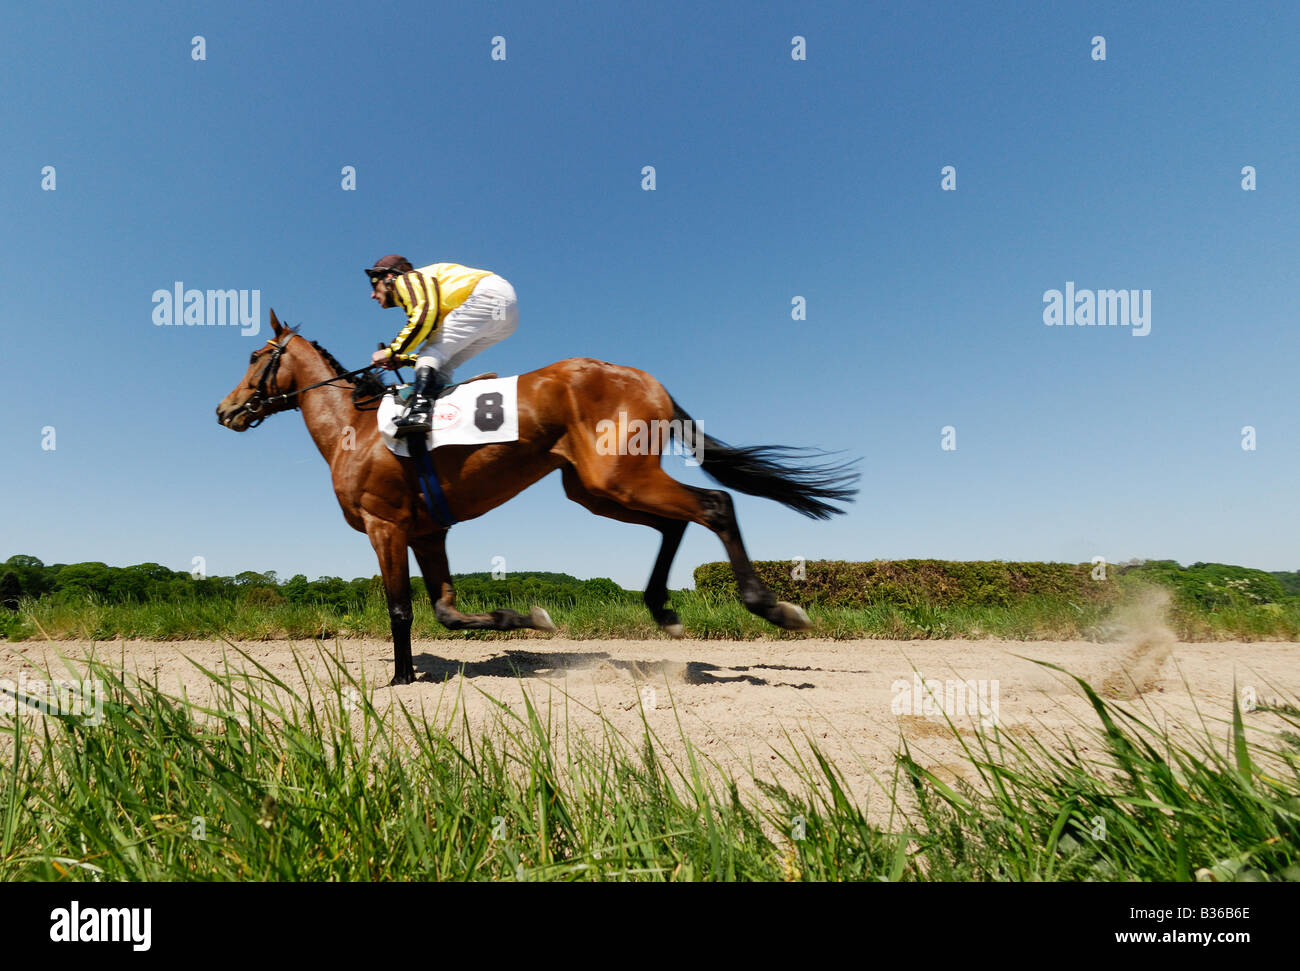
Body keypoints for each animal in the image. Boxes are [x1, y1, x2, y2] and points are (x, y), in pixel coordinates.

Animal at [217, 311, 857, 681]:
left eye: (254, 357)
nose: (225, 409)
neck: (357, 428)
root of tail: (648, 380)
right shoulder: (428, 531)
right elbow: (447, 611)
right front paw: (529, 618)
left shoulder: (387, 527)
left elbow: (401, 608)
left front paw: (400, 679)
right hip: (595, 488)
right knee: (676, 521)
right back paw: (663, 608)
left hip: (617, 477)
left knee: (714, 505)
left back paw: (770, 605)